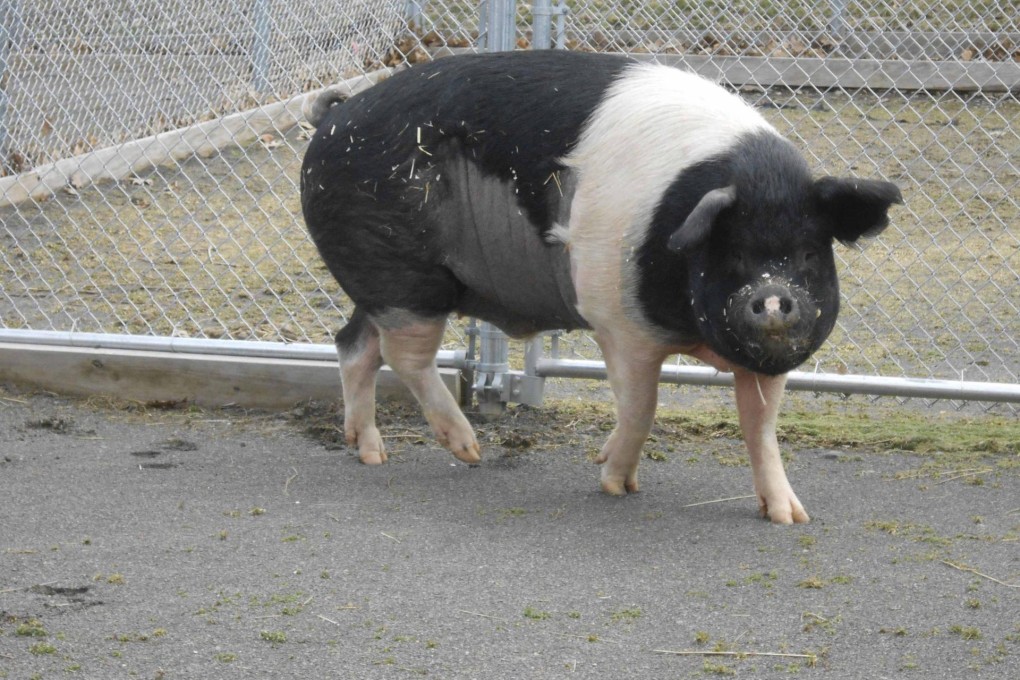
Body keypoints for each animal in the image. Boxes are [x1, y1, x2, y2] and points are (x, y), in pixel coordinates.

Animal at [300, 50, 902, 524]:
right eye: (732, 254)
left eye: (808, 253)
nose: (775, 297)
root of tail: (333, 116)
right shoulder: (617, 320)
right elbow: (642, 406)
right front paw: (616, 483)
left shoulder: (763, 358)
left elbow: (761, 427)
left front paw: (790, 517)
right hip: (401, 275)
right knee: (406, 357)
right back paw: (469, 451)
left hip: (379, 286)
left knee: (354, 345)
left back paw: (370, 453)